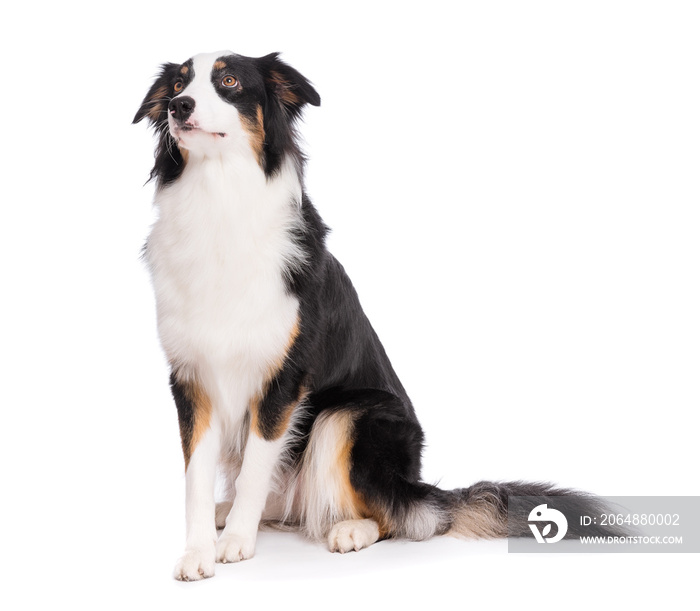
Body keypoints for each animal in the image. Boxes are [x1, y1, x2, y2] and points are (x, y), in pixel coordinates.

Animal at [134, 50, 608, 580]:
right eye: (179, 83)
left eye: (230, 81)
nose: (178, 106)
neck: (218, 199)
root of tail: (417, 484)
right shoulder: (190, 379)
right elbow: (196, 477)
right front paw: (197, 552)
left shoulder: (284, 380)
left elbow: (256, 468)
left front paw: (236, 541)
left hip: (353, 416)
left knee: (407, 517)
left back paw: (350, 530)